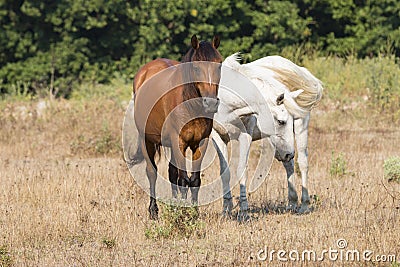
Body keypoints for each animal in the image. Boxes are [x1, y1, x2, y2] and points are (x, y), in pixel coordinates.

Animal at [133, 35, 223, 220]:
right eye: (195, 67)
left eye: (219, 64)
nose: (210, 103)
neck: (189, 104)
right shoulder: (179, 142)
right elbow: (183, 180)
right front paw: (183, 213)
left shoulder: (200, 143)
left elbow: (194, 180)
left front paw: (194, 213)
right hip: (147, 140)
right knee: (152, 172)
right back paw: (154, 211)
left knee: (172, 173)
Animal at [212, 53, 322, 221]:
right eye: (281, 121)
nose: (290, 153)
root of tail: (299, 70)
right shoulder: (218, 137)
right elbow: (224, 171)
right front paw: (226, 209)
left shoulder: (245, 136)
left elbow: (242, 170)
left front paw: (244, 211)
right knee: (289, 165)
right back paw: (292, 203)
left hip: (300, 129)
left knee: (302, 163)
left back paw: (304, 205)